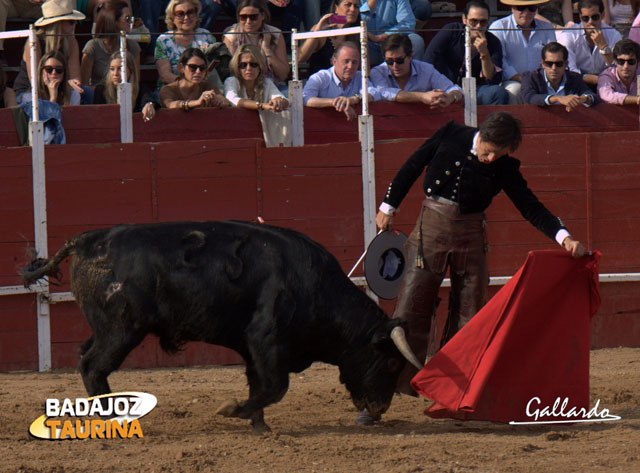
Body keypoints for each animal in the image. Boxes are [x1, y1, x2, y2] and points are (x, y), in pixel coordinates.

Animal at [21, 221, 420, 432]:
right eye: (390, 362)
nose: (379, 409)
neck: (316, 287)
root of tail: (86, 240)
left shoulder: (252, 347)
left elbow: (261, 384)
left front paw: (259, 424)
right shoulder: (265, 339)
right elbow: (275, 386)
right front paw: (234, 411)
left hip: (107, 329)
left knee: (85, 356)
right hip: (122, 329)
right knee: (93, 366)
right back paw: (111, 417)